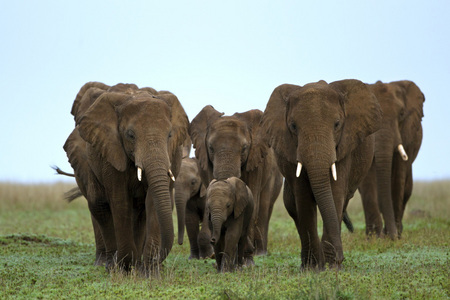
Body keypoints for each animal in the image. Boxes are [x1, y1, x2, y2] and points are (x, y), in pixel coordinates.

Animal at [63, 82, 190, 274]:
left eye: (169, 135)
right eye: (130, 135)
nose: (158, 259)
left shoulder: (172, 153)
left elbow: (152, 200)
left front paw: (150, 273)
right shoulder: (111, 152)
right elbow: (120, 200)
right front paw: (123, 268)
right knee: (99, 204)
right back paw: (110, 264)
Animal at [189, 106, 282, 260]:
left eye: (244, 148)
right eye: (211, 148)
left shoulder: (255, 161)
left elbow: (253, 202)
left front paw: (247, 256)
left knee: (263, 206)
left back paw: (259, 253)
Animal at [260, 79, 384, 270]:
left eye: (337, 124)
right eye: (293, 126)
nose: (341, 258)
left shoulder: (344, 146)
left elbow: (335, 192)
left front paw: (332, 266)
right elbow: (303, 198)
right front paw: (313, 268)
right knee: (292, 205)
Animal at [356, 79, 424, 239]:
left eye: (401, 114)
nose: (391, 236)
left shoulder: (406, 135)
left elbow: (399, 177)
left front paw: (394, 236)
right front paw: (374, 238)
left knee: (407, 189)